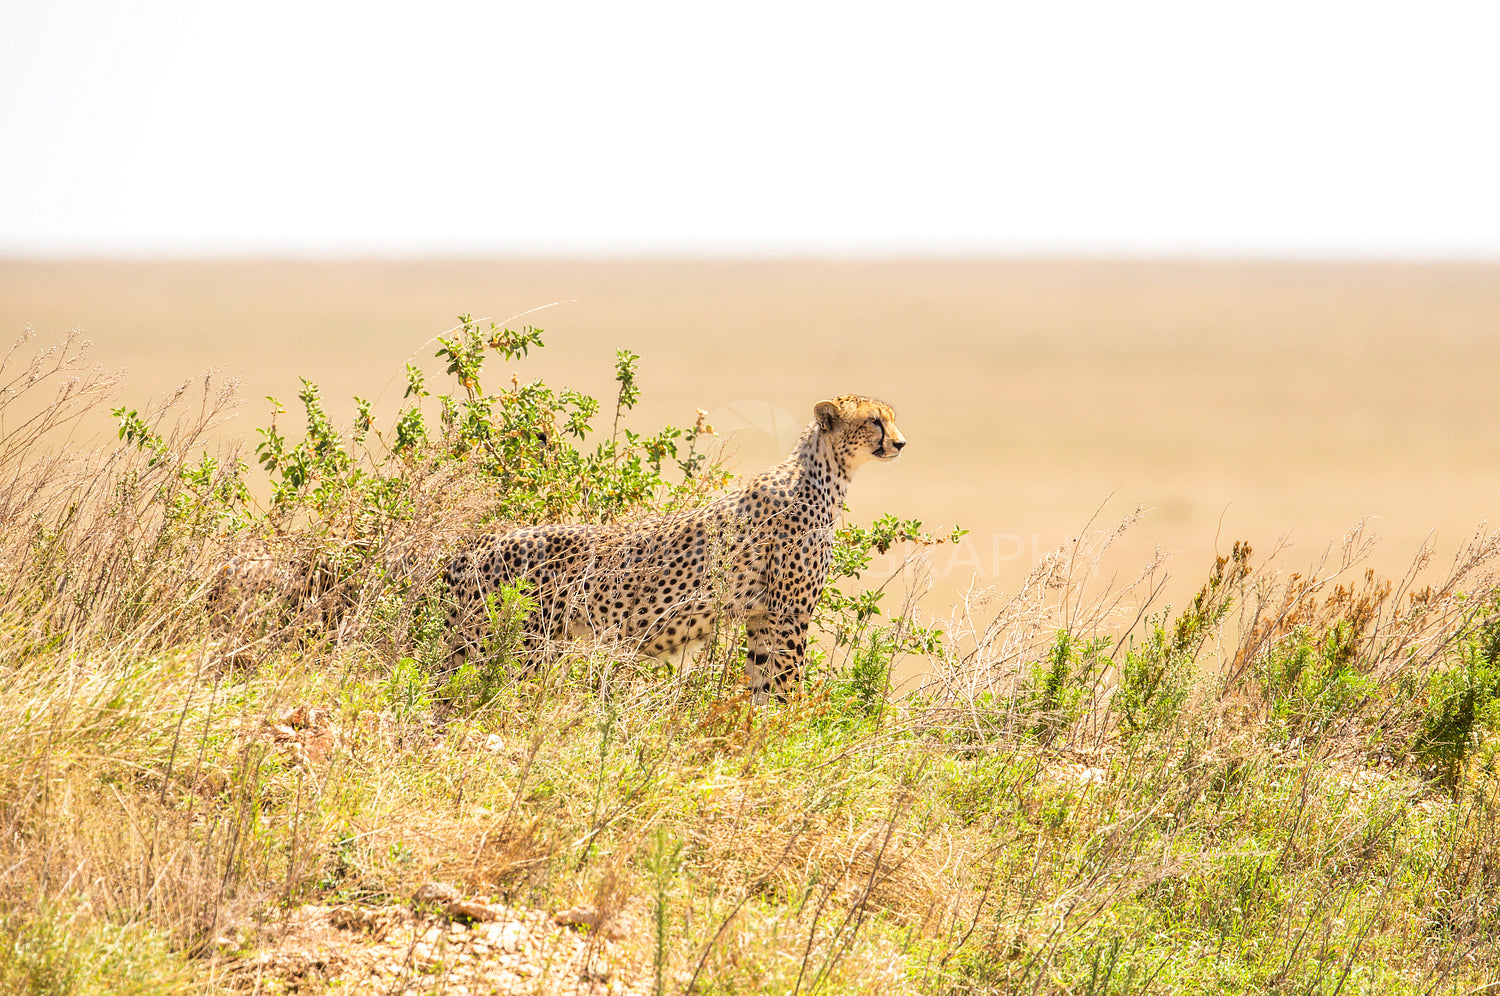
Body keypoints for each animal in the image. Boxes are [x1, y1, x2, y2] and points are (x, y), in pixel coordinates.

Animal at [444, 396, 906, 699]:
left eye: (890, 420)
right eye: (875, 421)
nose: (901, 443)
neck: (823, 474)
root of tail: (482, 543)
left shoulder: (761, 615)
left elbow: (761, 682)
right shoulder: (788, 613)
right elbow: (785, 684)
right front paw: (782, 739)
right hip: (512, 643)